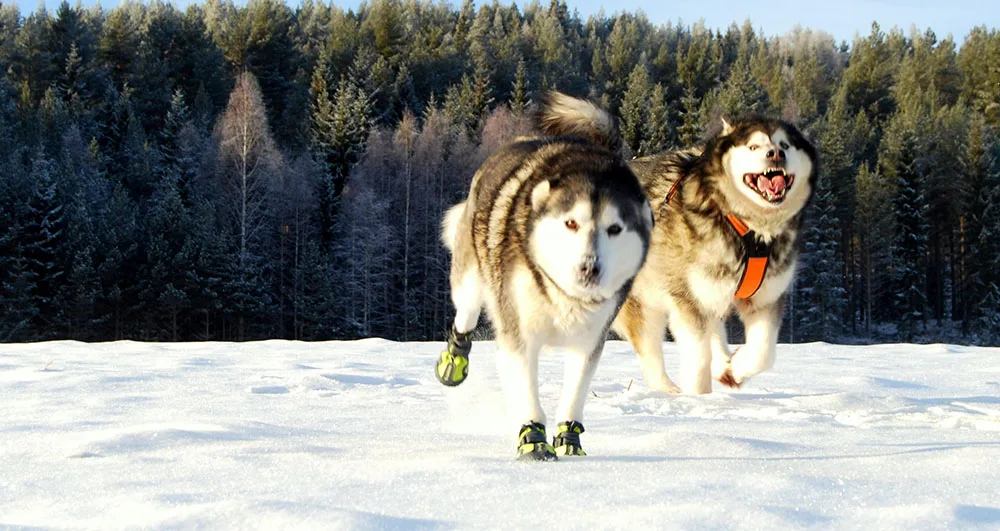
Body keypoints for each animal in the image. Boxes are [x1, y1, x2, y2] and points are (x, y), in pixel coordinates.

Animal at [434, 92, 652, 462]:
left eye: (615, 229)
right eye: (571, 223)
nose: (589, 268)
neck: (564, 296)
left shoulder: (589, 341)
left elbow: (574, 395)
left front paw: (569, 439)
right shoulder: (519, 334)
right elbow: (527, 393)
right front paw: (533, 440)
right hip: (469, 278)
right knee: (465, 315)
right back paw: (453, 361)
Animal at [612, 118, 816, 396]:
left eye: (785, 145)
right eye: (753, 146)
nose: (776, 154)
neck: (749, 231)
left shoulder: (767, 296)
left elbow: (763, 353)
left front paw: (736, 368)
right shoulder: (687, 299)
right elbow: (698, 356)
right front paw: (699, 398)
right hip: (642, 302)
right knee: (651, 352)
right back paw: (669, 390)